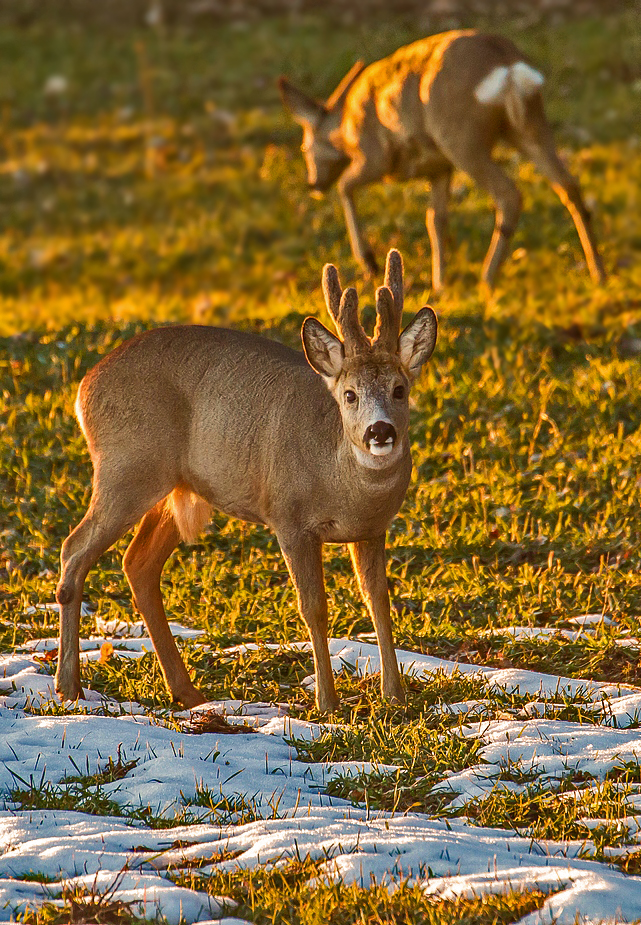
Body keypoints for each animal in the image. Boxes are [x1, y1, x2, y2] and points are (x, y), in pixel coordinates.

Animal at [55, 253, 438, 716]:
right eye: (350, 394)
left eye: (399, 389)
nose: (379, 431)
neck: (341, 482)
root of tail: (83, 387)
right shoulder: (289, 517)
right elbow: (313, 607)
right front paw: (327, 704)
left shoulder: (372, 529)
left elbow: (379, 601)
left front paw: (395, 697)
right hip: (125, 468)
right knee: (74, 548)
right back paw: (69, 686)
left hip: (173, 486)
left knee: (138, 563)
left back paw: (187, 692)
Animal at [280, 29, 604, 288]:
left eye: (304, 148)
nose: (313, 184)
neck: (345, 127)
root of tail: (509, 66)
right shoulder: (438, 168)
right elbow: (435, 219)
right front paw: (440, 284)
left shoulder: (377, 157)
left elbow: (345, 186)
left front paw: (370, 262)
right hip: (529, 124)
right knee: (569, 185)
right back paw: (598, 273)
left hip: (461, 137)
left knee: (510, 194)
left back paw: (487, 279)